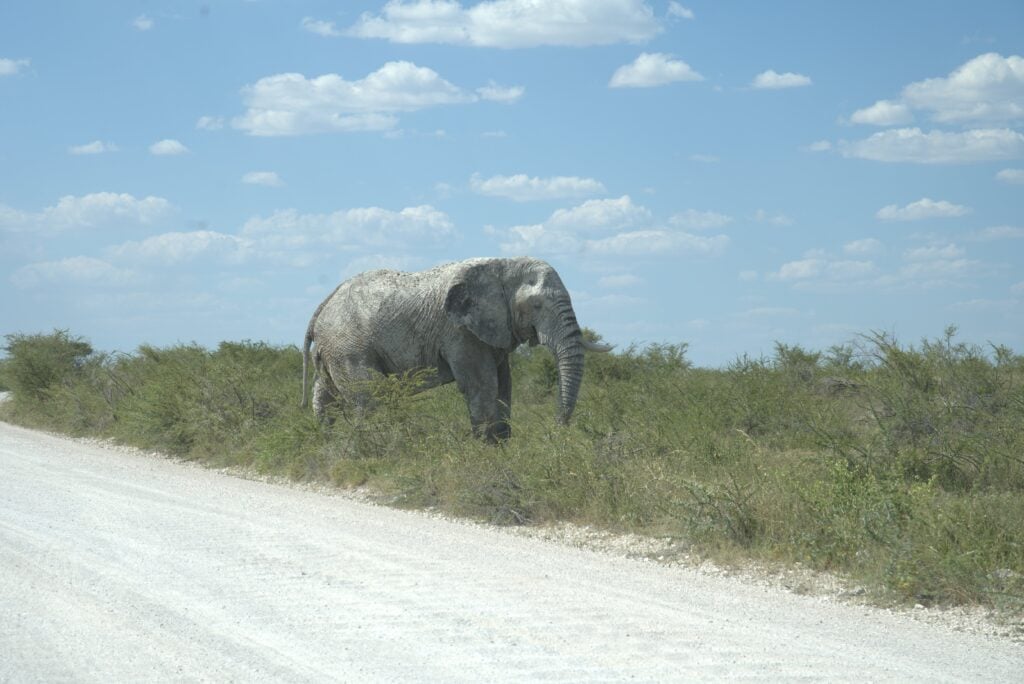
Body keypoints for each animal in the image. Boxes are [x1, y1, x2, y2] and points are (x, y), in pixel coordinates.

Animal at [301, 257, 612, 441]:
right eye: (536, 305)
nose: (557, 431)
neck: (503, 266)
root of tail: (323, 305)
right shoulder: (459, 332)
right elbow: (482, 385)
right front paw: (487, 453)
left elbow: (504, 385)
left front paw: (503, 449)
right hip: (349, 346)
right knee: (369, 397)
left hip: (335, 349)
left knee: (325, 395)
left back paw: (325, 443)